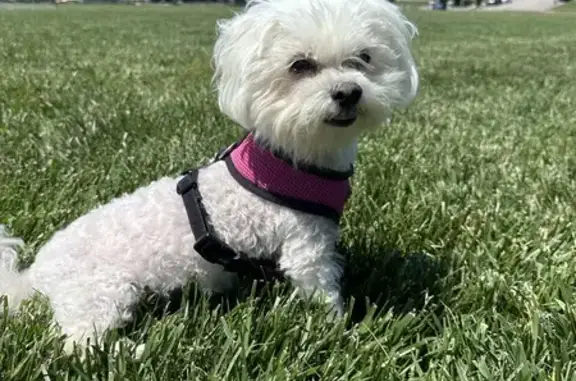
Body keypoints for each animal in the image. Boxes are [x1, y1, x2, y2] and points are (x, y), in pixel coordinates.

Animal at [0, 0, 416, 354]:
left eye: (364, 58)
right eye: (300, 66)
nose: (349, 92)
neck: (293, 158)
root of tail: (34, 276)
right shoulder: (306, 246)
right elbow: (322, 291)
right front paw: (341, 330)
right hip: (101, 292)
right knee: (81, 343)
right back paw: (129, 352)